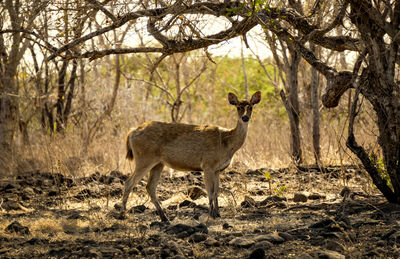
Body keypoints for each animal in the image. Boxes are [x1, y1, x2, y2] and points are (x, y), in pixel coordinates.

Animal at [120, 91, 260, 221]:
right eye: (238, 107)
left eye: (251, 107)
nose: (245, 118)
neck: (226, 143)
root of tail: (131, 132)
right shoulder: (207, 164)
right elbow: (210, 191)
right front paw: (211, 214)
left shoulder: (217, 169)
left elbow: (216, 191)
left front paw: (218, 214)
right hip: (144, 158)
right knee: (129, 183)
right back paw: (123, 214)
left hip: (158, 163)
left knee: (150, 186)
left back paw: (164, 217)